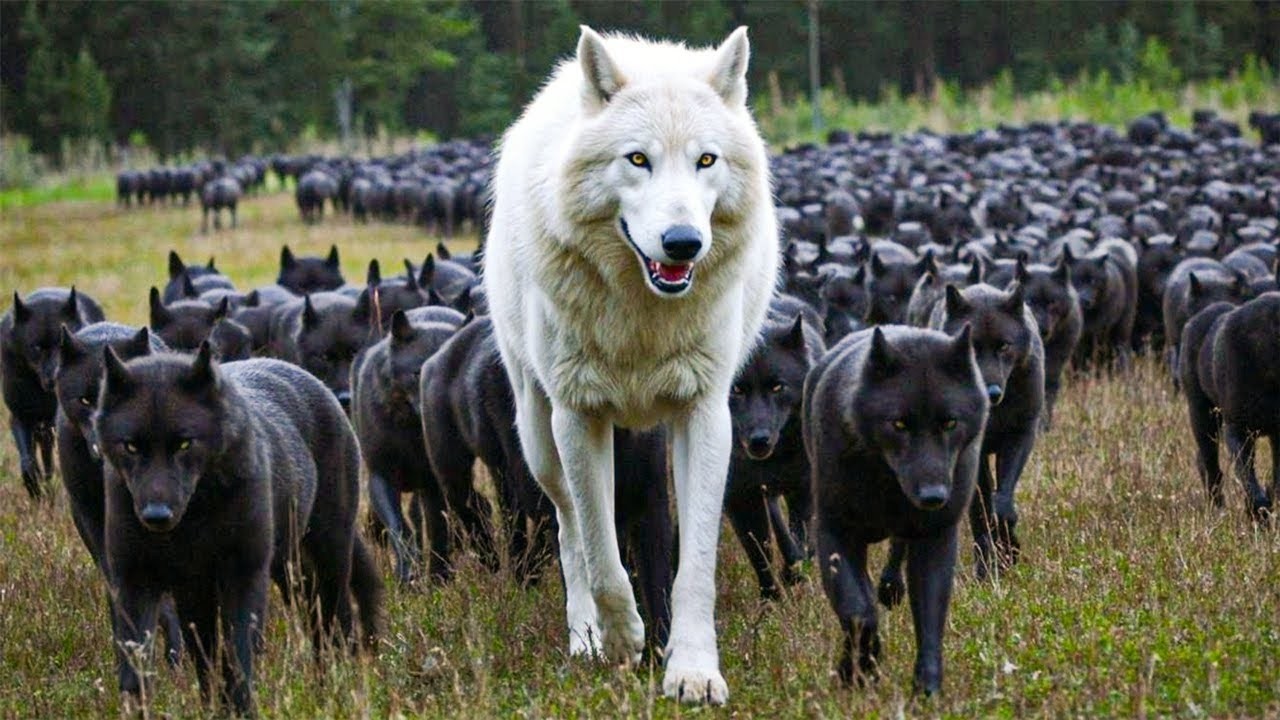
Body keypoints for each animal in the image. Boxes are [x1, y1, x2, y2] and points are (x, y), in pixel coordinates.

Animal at [2, 288, 105, 497]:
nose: (56, 376)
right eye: (36, 347)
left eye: (61, 344)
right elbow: (28, 462)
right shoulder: (20, 417)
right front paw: (35, 489)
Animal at [95, 344, 384, 715]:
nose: (156, 516)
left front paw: (243, 711)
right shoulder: (137, 582)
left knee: (335, 624)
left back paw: (334, 689)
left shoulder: (243, 576)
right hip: (276, 575)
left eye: (185, 444)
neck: (191, 521)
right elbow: (139, 672)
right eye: (130, 446)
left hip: (327, 558)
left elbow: (239, 658)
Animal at [483, 26, 776, 704]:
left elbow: (694, 566)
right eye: (638, 160)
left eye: (705, 161)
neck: (644, 315)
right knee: (568, 531)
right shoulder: (578, 415)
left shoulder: (706, 415)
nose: (683, 243)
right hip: (538, 435)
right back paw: (586, 639)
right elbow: (601, 554)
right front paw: (622, 643)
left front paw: (692, 671)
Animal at [804, 325, 988, 695]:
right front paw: (858, 672)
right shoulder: (836, 534)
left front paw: (927, 690)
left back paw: (891, 587)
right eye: (899, 424)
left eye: (950, 423)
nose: (934, 497)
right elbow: (859, 613)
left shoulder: (935, 537)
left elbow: (930, 618)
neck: (887, 484)